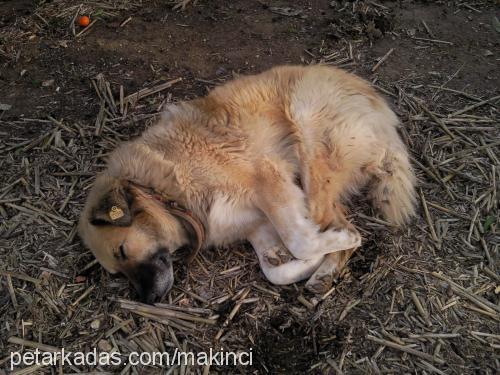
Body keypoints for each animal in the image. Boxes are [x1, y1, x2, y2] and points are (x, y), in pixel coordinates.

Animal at [79, 65, 414, 306]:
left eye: (122, 250)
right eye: (117, 272)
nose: (148, 299)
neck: (166, 189)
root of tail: (374, 98)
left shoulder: (268, 179)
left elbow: (299, 240)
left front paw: (328, 245)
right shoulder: (254, 225)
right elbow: (275, 271)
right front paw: (305, 263)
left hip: (308, 134)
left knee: (335, 220)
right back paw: (325, 270)